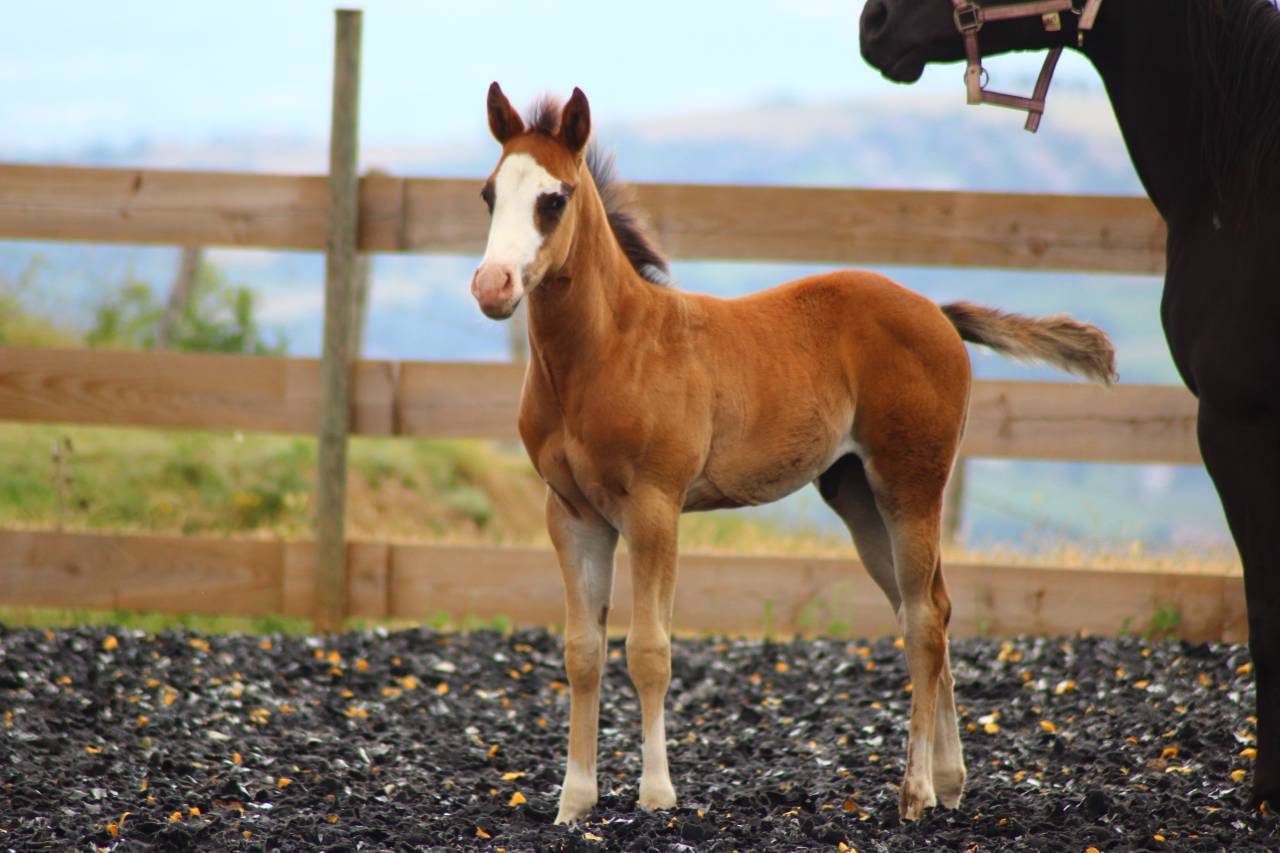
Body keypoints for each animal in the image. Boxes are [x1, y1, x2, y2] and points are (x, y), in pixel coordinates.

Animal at [469, 82, 1117, 822]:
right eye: (489, 193)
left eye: (555, 198)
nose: (492, 286)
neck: (609, 352)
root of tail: (938, 314)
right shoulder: (572, 513)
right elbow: (582, 651)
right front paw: (574, 801)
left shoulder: (654, 506)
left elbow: (649, 649)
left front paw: (657, 795)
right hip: (856, 494)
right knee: (930, 607)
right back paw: (951, 781)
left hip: (911, 484)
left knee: (925, 619)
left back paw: (916, 791)